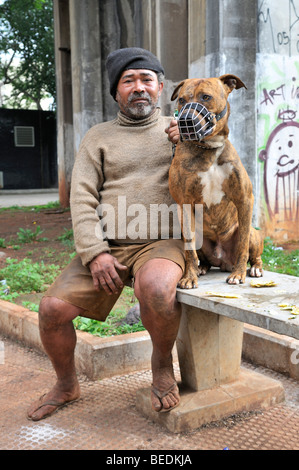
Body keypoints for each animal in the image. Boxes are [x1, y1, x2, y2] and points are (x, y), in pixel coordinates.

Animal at [170, 75, 264, 288]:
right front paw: (189, 277)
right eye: (181, 100)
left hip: (253, 233)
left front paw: (239, 274)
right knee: (199, 255)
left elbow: (243, 244)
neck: (209, 148)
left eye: (206, 97)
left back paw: (254, 268)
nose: (185, 120)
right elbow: (189, 251)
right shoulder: (184, 204)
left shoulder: (245, 199)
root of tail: (223, 261)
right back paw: (201, 268)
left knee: (252, 251)